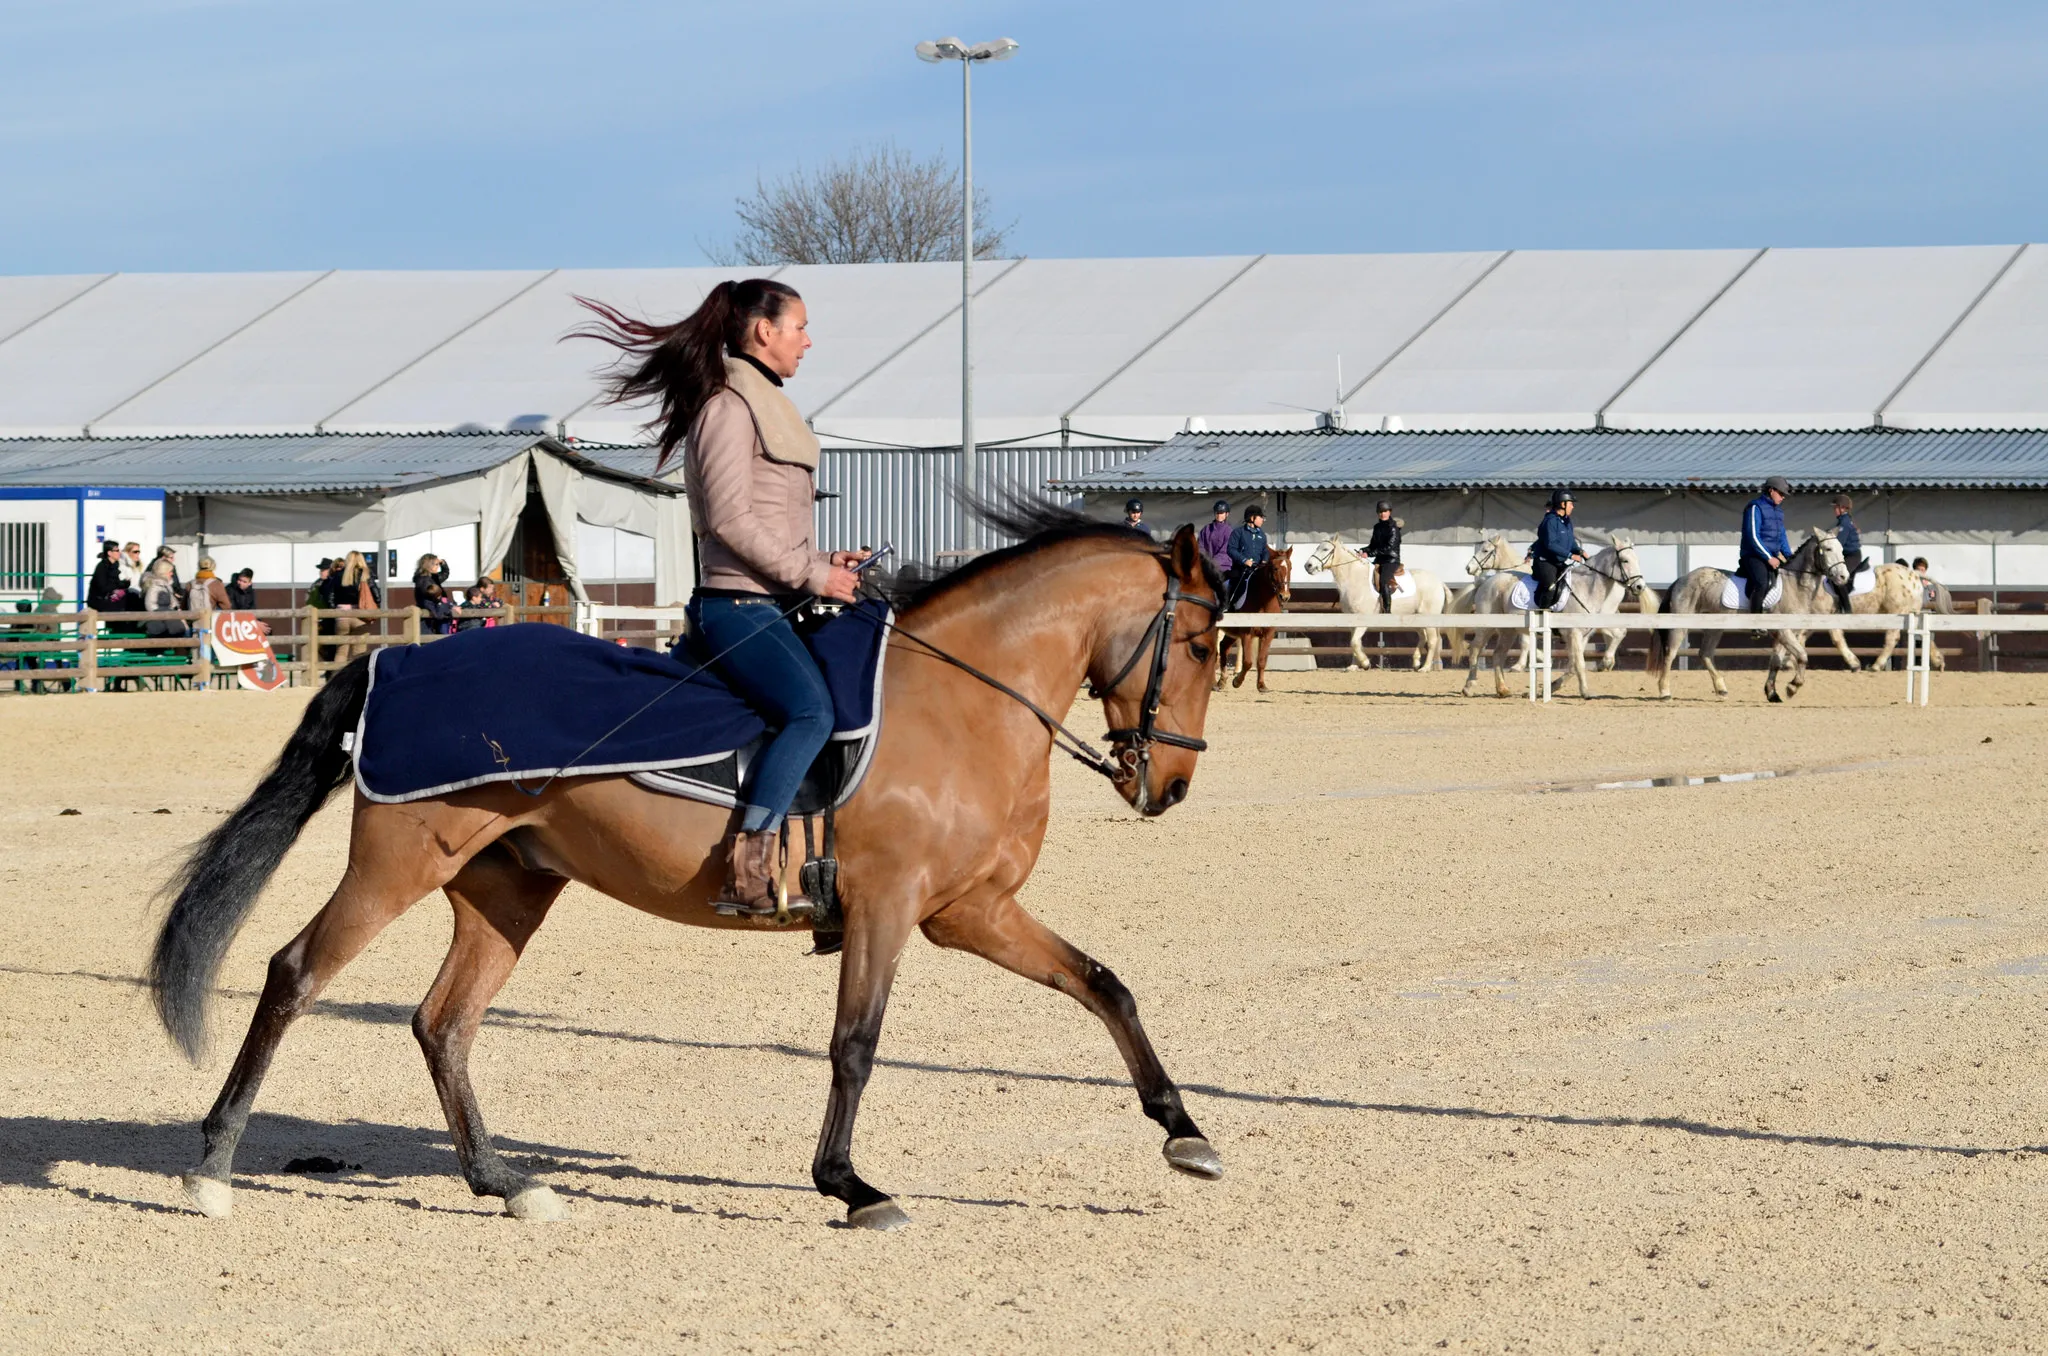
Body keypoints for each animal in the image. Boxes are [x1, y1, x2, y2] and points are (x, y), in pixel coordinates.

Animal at [145, 508, 1229, 1232]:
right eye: (1200, 640)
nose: (1173, 783)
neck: (960, 701)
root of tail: (394, 662)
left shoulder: (970, 911)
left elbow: (1104, 985)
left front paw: (1184, 1132)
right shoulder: (886, 908)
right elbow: (855, 1045)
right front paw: (849, 1186)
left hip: (506, 889)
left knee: (443, 1024)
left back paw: (504, 1182)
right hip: (397, 866)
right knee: (295, 974)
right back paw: (213, 1168)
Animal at [1216, 546, 1293, 693]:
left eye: (1290, 567)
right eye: (1275, 568)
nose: (1285, 596)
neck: (1262, 600)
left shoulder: (1268, 634)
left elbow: (1261, 660)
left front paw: (1261, 685)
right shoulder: (1246, 633)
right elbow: (1248, 662)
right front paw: (1237, 681)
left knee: (1223, 647)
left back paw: (1221, 681)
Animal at [1302, 537, 1453, 670]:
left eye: (1325, 549)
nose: (1308, 566)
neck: (1355, 578)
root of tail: (1439, 582)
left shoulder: (1362, 620)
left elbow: (1354, 642)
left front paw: (1365, 663)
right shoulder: (1352, 622)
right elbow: (1355, 643)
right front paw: (1354, 666)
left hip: (1429, 618)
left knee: (1432, 641)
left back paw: (1425, 668)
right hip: (1416, 619)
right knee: (1423, 637)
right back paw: (1416, 663)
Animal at [1459, 539, 1649, 699]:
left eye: (1636, 560)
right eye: (1625, 560)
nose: (1640, 586)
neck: (1587, 588)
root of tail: (1485, 582)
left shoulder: (1582, 635)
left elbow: (1573, 664)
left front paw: (1550, 687)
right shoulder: (1573, 634)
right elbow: (1578, 663)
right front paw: (1585, 692)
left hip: (1508, 630)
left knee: (1498, 654)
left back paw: (1503, 689)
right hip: (1487, 626)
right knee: (1475, 649)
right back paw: (1469, 686)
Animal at [1646, 530, 1848, 702]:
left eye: (1841, 549)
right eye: (1828, 549)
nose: (1843, 577)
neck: (1795, 585)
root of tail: (1680, 580)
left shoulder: (1784, 634)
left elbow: (1776, 661)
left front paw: (1772, 693)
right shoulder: (1783, 631)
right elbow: (1803, 655)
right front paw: (1792, 687)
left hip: (1714, 628)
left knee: (1705, 654)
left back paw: (1721, 689)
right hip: (1680, 625)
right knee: (1670, 654)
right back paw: (1665, 692)